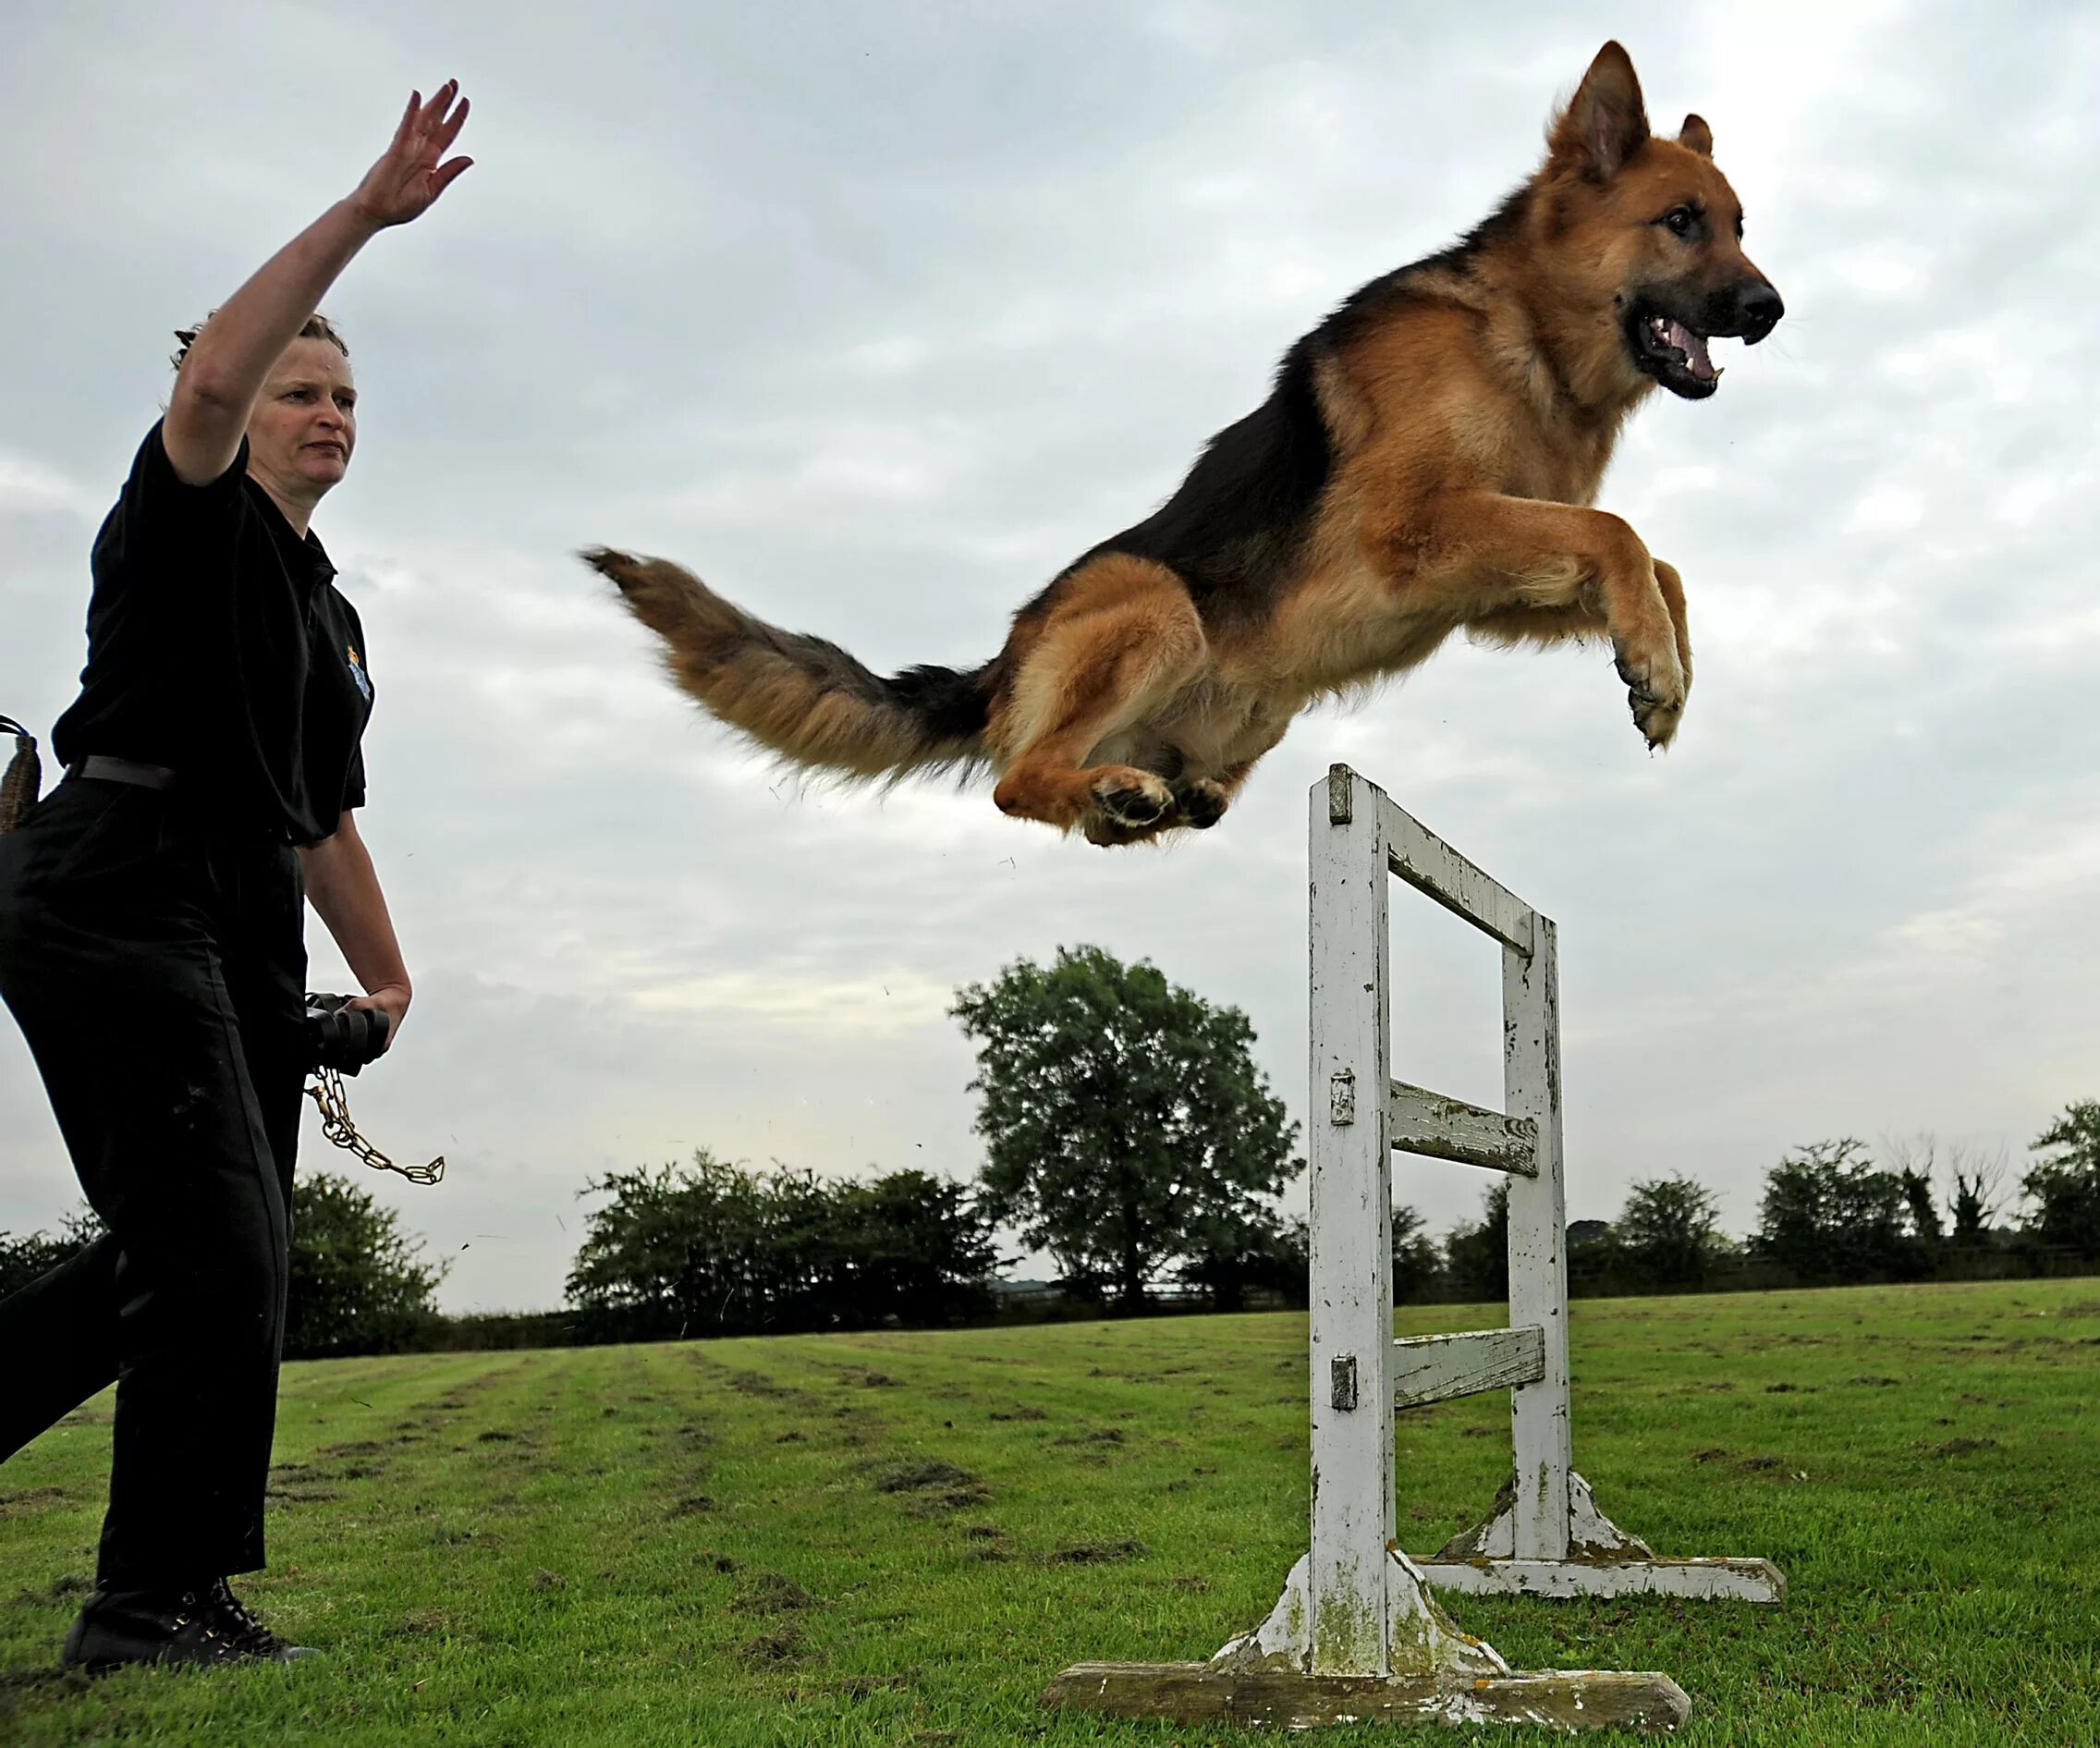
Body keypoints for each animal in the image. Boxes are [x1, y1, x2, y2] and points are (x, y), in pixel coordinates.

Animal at [588, 44, 1772, 849]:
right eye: (1679, 221)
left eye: (1738, 225)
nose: (1771, 310)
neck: (1521, 333)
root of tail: (998, 667)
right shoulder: (1420, 536)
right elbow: (1618, 531)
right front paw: (1656, 662)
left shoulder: (1484, 581)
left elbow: (1651, 560)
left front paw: (1662, 671)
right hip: (1152, 600)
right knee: (1016, 778)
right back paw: (1104, 787)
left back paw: (1139, 797)